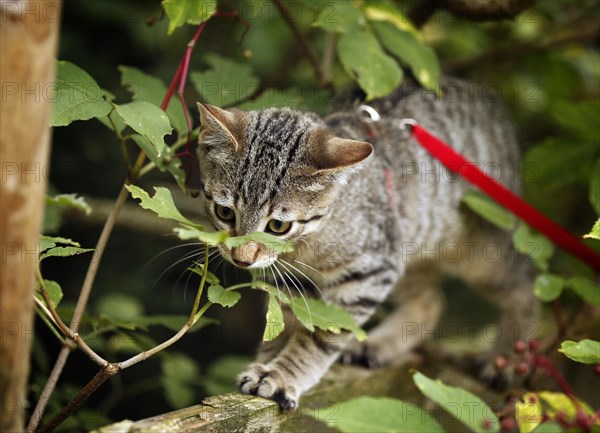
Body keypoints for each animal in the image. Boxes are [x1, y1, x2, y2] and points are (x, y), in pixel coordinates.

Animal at [196, 79, 536, 410]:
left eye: (278, 226)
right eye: (225, 213)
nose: (241, 258)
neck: (307, 243)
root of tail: (487, 96)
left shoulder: (368, 273)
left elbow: (321, 336)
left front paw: (283, 374)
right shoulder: (292, 280)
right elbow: (286, 321)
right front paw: (269, 359)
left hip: (478, 249)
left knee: (526, 283)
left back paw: (509, 357)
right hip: (407, 244)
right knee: (430, 300)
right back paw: (380, 345)